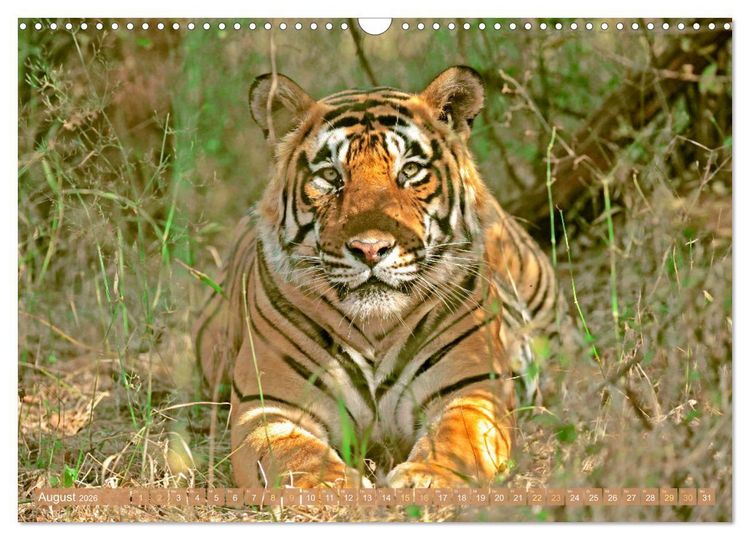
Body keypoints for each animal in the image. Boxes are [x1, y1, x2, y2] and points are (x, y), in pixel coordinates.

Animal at [193, 66, 560, 489]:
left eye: (410, 170)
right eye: (330, 176)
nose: (370, 249)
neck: (374, 328)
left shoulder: (472, 387)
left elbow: (459, 437)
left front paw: (426, 478)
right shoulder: (270, 405)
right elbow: (293, 456)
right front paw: (330, 488)